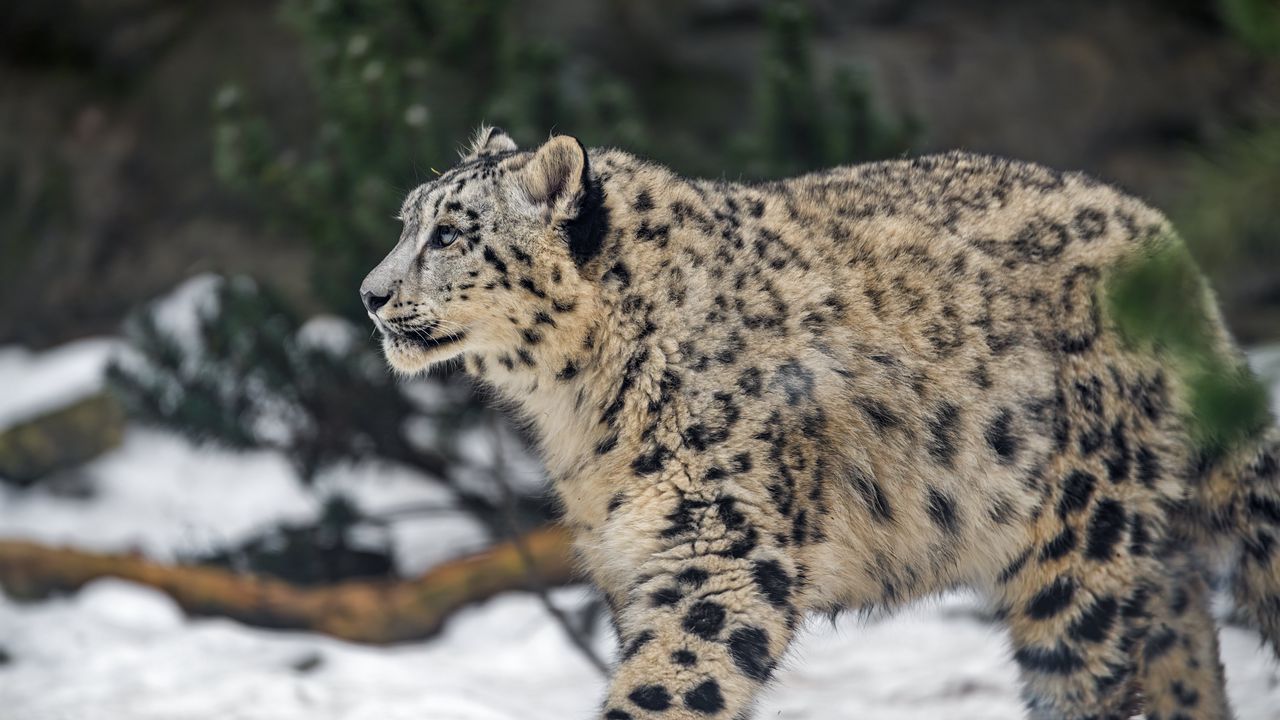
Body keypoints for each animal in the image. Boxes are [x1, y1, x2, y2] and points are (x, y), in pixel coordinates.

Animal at [360, 126, 1280, 720]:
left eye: (449, 234)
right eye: (406, 222)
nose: (370, 294)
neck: (580, 413)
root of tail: (1172, 255)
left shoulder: (722, 549)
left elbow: (672, 681)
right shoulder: (632, 560)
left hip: (1080, 551)